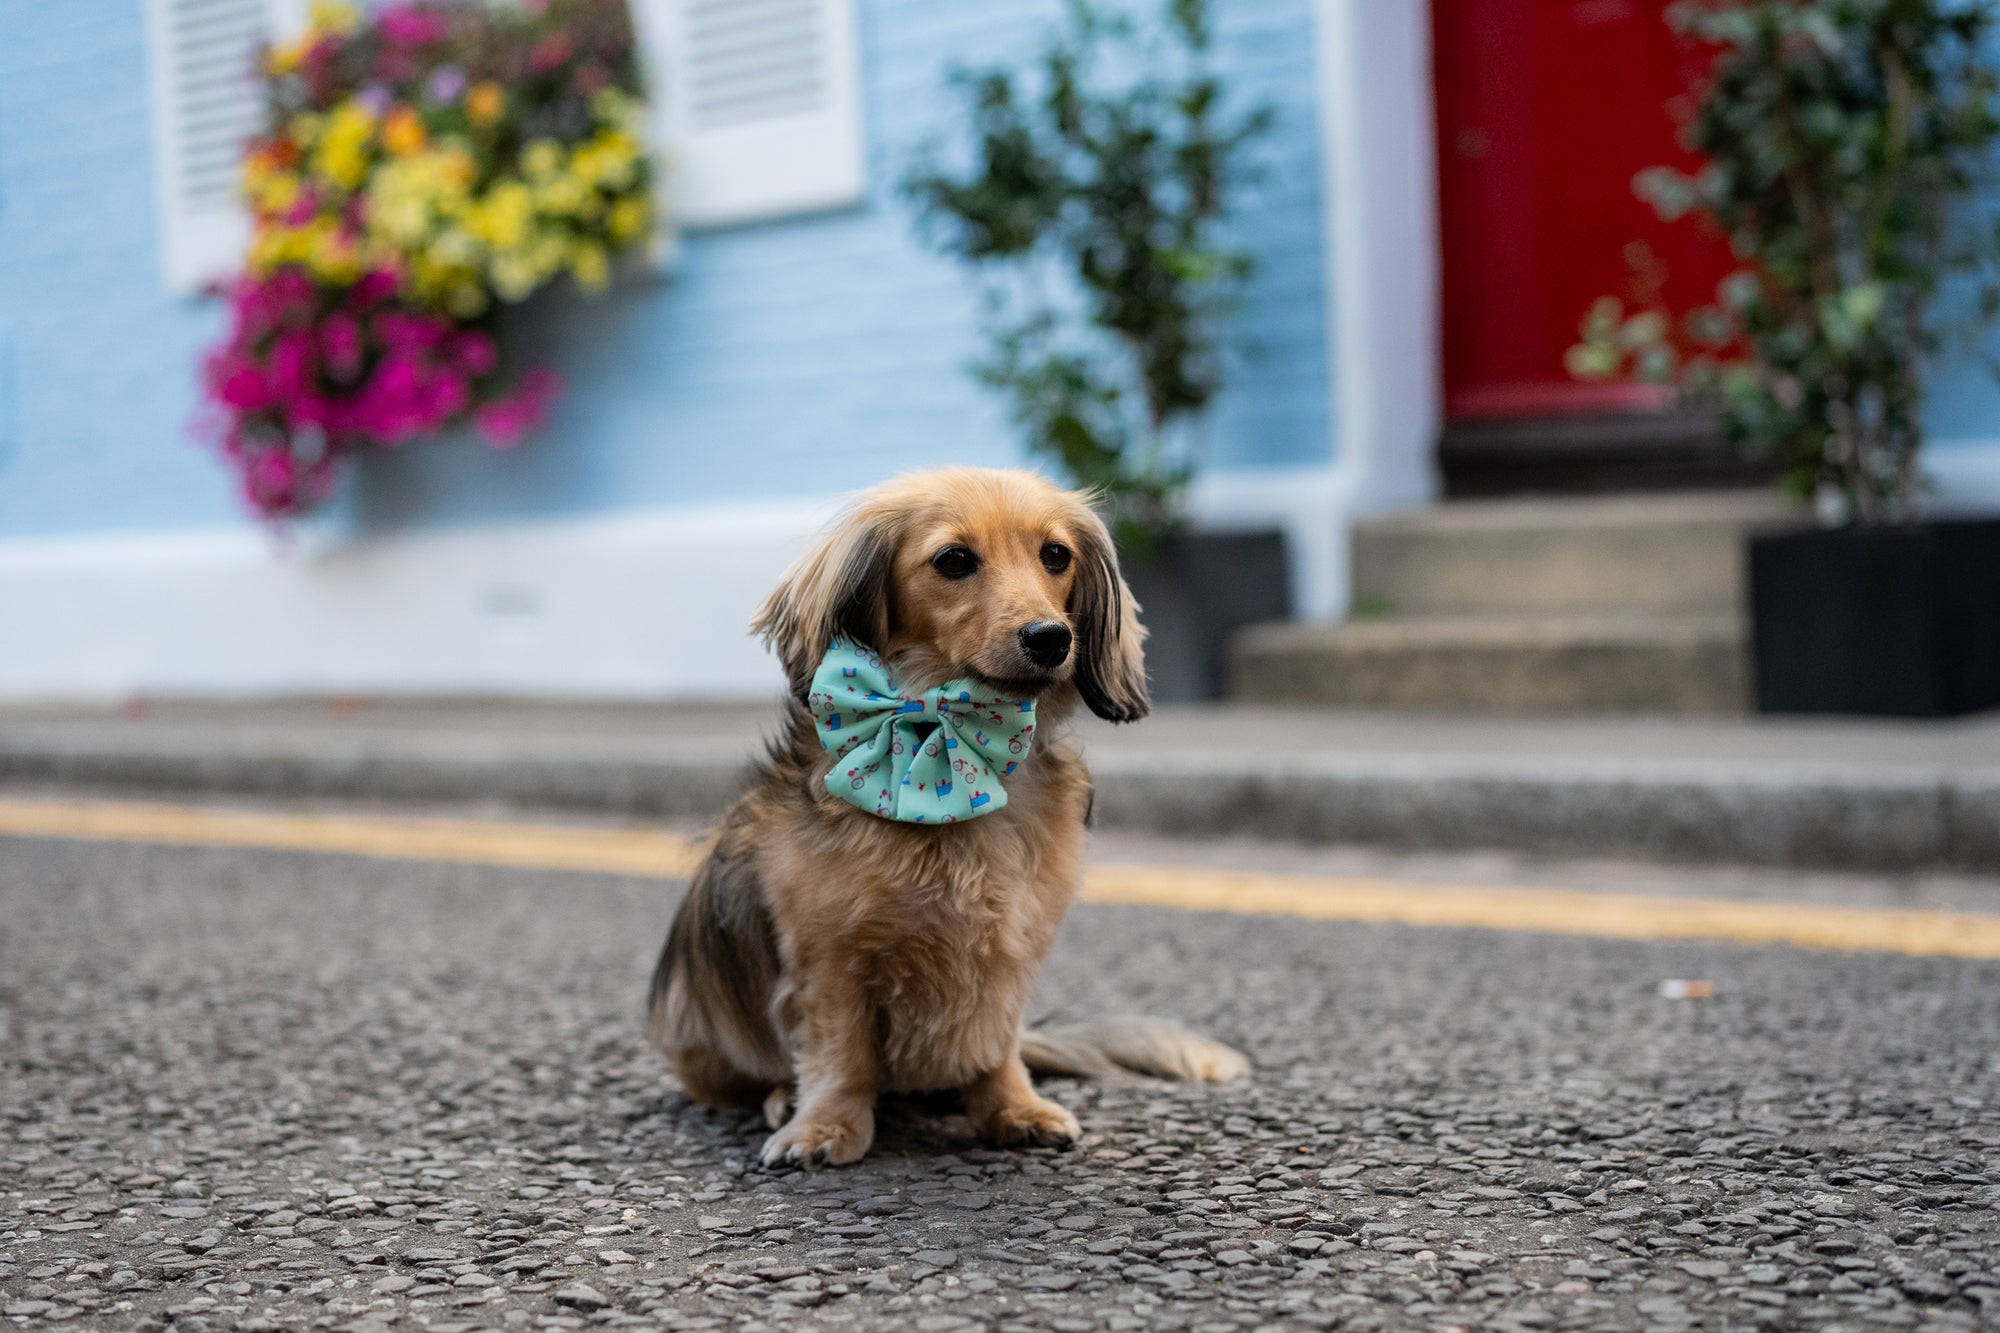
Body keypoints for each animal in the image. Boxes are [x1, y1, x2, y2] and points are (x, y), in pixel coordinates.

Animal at [648, 466, 1240, 1160]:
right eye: (954, 560)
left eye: (1055, 555)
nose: (1051, 639)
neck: (947, 736)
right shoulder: (830, 960)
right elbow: (839, 1055)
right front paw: (826, 1126)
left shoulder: (1009, 952)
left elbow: (996, 1045)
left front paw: (1012, 1108)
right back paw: (778, 1099)